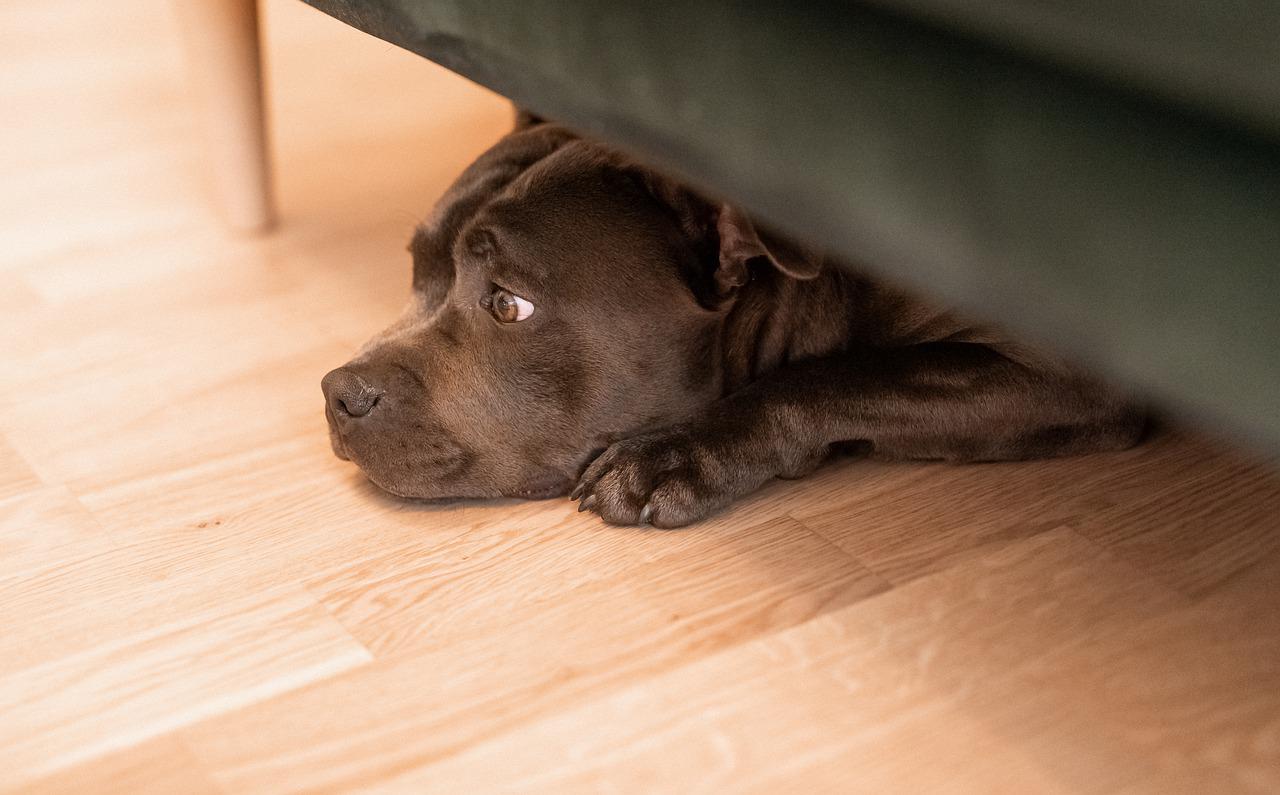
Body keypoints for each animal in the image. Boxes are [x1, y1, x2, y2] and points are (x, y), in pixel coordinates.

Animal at [320, 117, 1141, 527]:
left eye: (507, 304)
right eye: (418, 271)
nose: (337, 392)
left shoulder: (1065, 374)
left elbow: (846, 376)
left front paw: (676, 456)